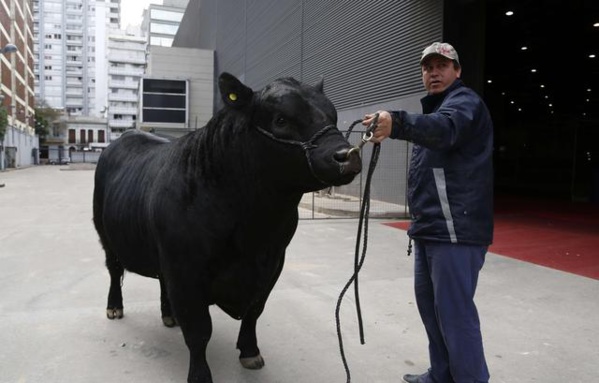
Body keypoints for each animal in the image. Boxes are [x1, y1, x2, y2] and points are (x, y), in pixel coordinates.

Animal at [92, 73, 364, 383]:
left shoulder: (273, 261)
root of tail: (126, 137)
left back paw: (168, 315)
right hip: (105, 233)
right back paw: (115, 307)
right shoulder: (185, 268)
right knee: (114, 270)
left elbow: (255, 311)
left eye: (333, 115)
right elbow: (199, 329)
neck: (252, 228)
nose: (348, 154)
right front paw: (200, 375)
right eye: (281, 119)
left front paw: (250, 352)